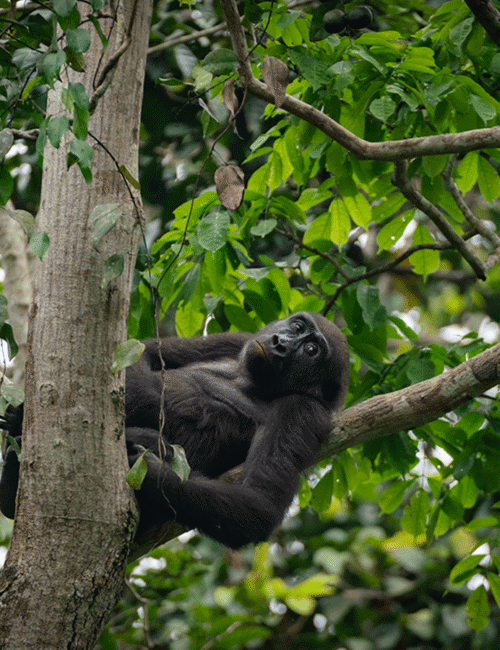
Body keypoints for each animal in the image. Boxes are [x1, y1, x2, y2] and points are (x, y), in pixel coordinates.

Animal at [0, 310, 350, 548]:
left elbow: (257, 506)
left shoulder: (303, 412)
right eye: (297, 327)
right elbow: (143, 351)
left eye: (310, 351)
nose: (280, 344)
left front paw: (152, 470)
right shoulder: (238, 340)